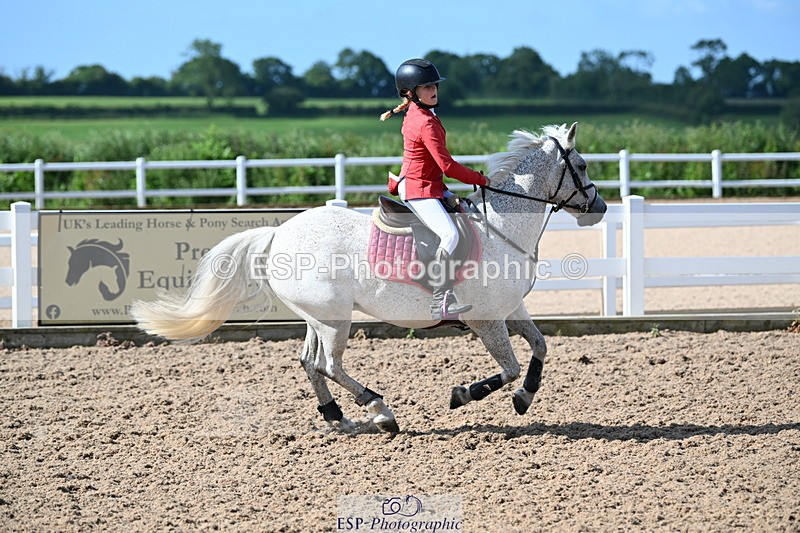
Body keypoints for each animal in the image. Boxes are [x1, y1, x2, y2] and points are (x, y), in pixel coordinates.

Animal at [131, 122, 607, 433]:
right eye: (582, 166)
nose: (599, 208)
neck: (500, 228)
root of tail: (278, 232)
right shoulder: (486, 320)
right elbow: (508, 368)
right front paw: (463, 395)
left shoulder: (511, 309)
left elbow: (540, 347)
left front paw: (525, 398)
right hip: (334, 319)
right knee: (328, 364)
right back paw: (380, 412)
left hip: (320, 316)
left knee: (310, 362)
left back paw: (337, 417)